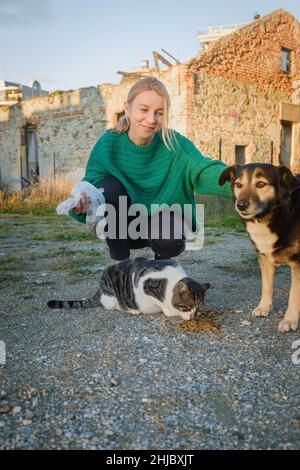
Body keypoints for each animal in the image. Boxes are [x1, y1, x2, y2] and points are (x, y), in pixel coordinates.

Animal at [47, 255, 211, 322]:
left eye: (199, 308)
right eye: (186, 307)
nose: (194, 317)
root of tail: (100, 288)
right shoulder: (144, 284)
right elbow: (162, 303)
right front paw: (169, 310)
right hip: (112, 298)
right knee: (117, 306)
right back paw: (132, 310)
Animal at [218, 163, 300, 332]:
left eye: (261, 184)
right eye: (238, 185)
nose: (241, 205)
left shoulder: (298, 262)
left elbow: (294, 294)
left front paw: (289, 320)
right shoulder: (264, 258)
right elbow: (266, 285)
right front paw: (264, 308)